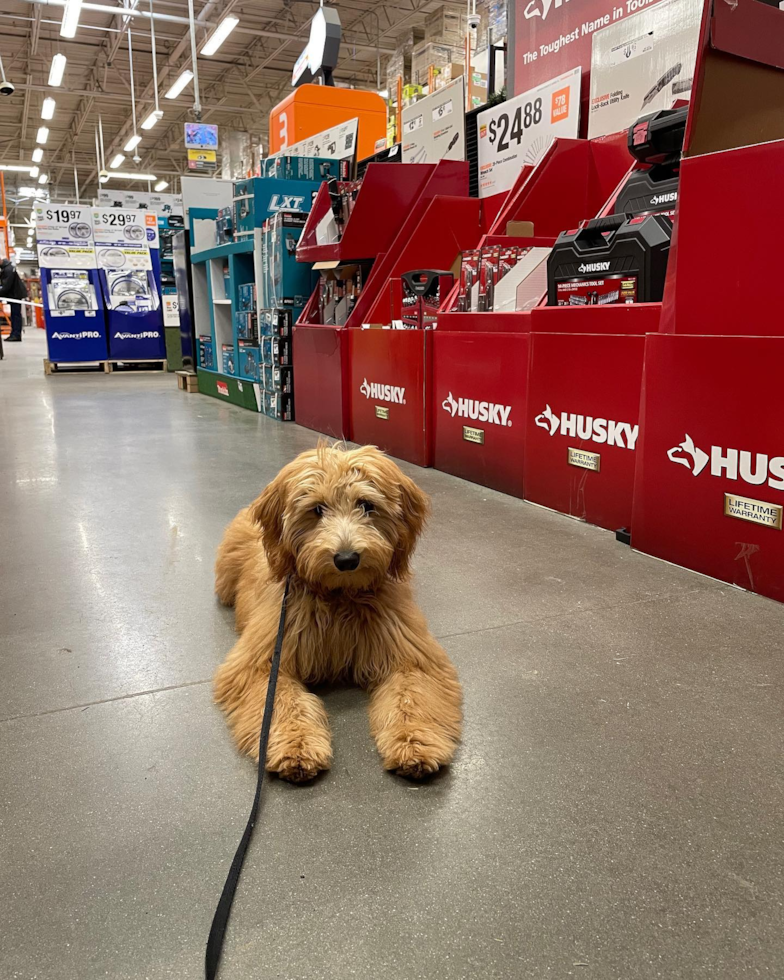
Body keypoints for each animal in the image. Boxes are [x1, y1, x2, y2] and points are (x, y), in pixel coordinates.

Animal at [211, 444, 462, 780]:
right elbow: (281, 701)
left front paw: (415, 742)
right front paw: (296, 745)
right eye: (317, 509)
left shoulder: (411, 657)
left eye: (367, 505)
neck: (339, 597)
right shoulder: (264, 662)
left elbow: (412, 696)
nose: (346, 559)